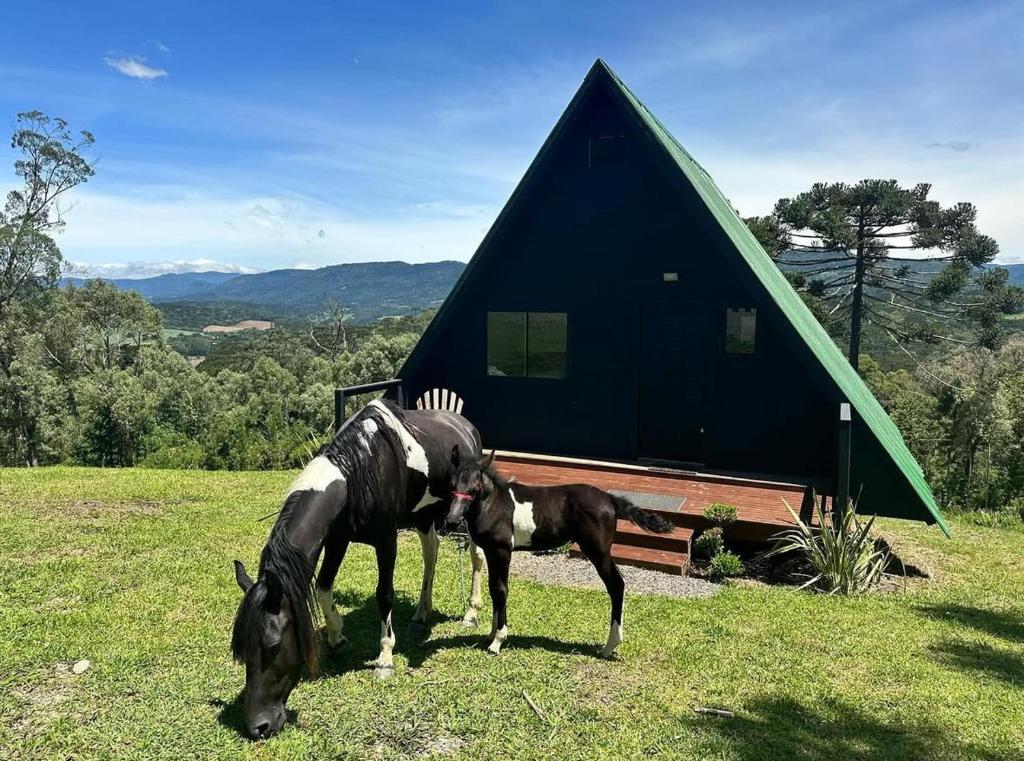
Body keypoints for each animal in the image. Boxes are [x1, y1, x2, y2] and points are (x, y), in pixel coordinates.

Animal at [230, 400, 481, 739]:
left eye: (273, 645)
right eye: (241, 649)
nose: (258, 726)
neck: (356, 472)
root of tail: (466, 426)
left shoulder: (386, 540)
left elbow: (384, 594)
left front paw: (385, 659)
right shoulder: (337, 539)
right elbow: (323, 587)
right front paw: (337, 637)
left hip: (462, 512)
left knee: (476, 556)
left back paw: (471, 613)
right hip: (424, 515)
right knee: (431, 551)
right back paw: (420, 614)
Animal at [445, 447, 673, 658]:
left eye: (475, 488)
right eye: (452, 485)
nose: (452, 521)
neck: (495, 504)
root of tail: (610, 498)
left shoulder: (502, 551)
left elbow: (501, 590)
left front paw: (498, 641)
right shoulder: (491, 552)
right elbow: (494, 589)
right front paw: (491, 634)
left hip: (598, 551)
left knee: (616, 585)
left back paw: (609, 647)